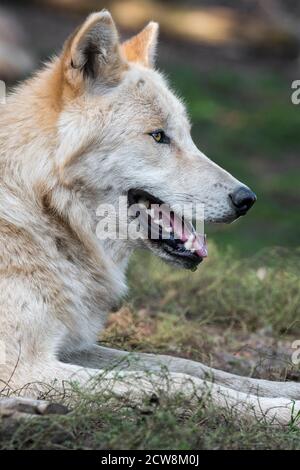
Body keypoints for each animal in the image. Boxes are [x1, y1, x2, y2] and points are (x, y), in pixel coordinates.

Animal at [0, 11, 298, 422]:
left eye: (188, 135)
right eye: (158, 136)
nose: (246, 199)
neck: (44, 211)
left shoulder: (72, 347)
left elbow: (188, 365)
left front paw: (286, 390)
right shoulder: (26, 366)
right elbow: (175, 381)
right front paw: (280, 411)